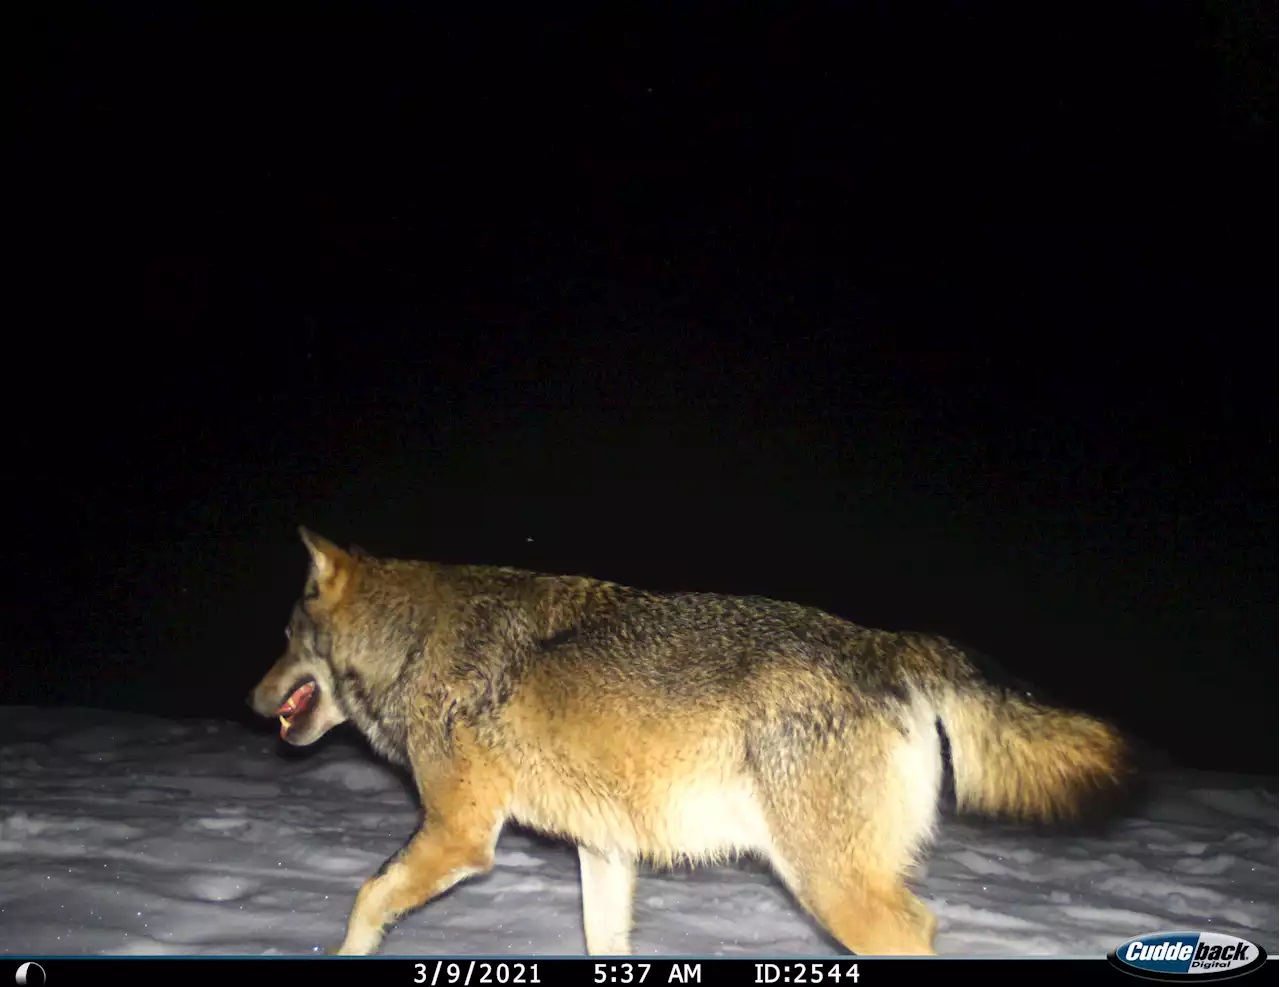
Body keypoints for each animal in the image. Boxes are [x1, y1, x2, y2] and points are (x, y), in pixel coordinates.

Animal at [247, 532, 1131, 957]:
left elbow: (366, 899)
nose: (251, 701)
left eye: (284, 639)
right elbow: (600, 941)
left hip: (830, 889)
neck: (413, 642)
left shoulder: (458, 836)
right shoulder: (604, 851)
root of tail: (890, 644)